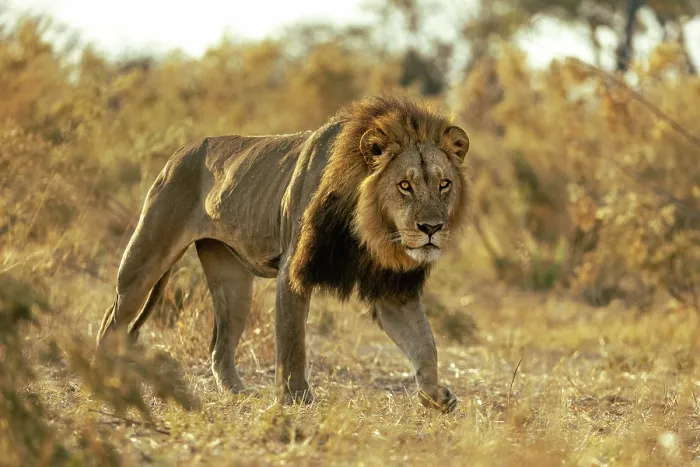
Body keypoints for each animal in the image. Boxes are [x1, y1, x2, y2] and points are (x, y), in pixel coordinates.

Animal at [96, 95, 471, 412]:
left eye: (444, 184)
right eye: (405, 186)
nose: (432, 228)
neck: (371, 231)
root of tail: (179, 151)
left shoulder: (393, 291)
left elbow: (425, 344)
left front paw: (437, 397)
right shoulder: (293, 271)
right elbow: (292, 342)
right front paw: (295, 398)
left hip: (233, 283)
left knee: (219, 346)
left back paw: (238, 393)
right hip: (144, 260)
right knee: (111, 322)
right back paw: (103, 373)